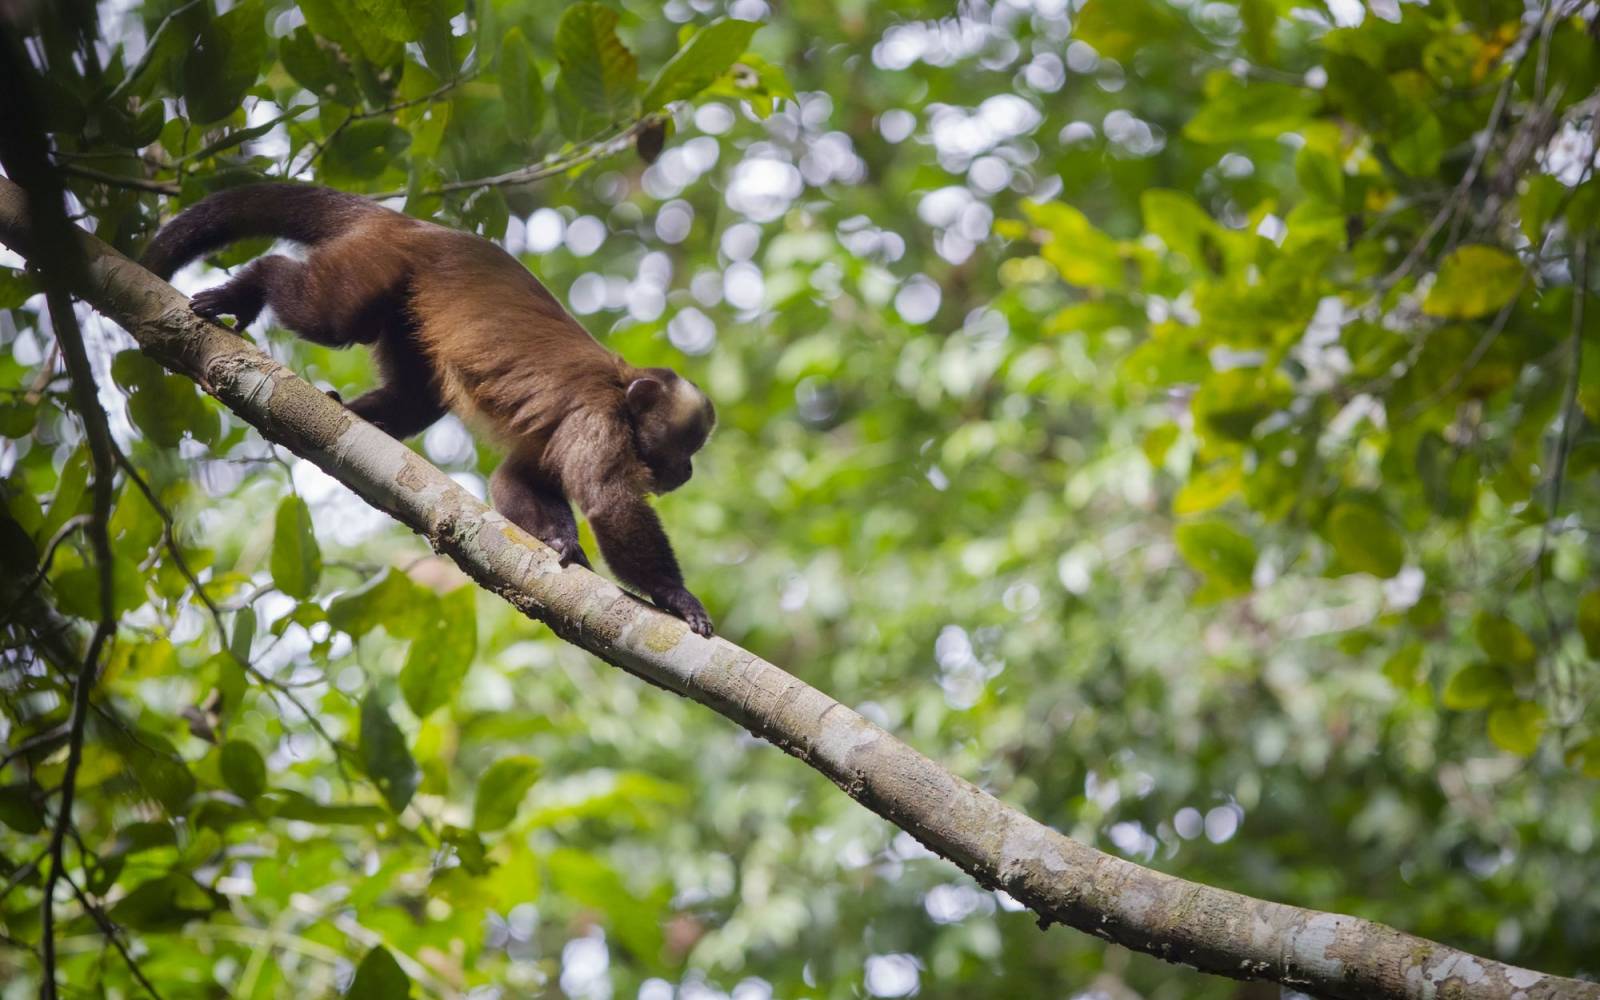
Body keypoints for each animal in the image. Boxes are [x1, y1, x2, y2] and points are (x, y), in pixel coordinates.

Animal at [144, 184, 720, 636]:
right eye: (685, 445)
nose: (690, 471)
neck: (622, 394)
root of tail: (416, 224)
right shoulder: (598, 418)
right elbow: (607, 502)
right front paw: (677, 599)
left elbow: (515, 480)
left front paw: (559, 541)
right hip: (377, 261)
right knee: (333, 318)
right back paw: (256, 284)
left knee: (421, 394)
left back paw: (357, 417)